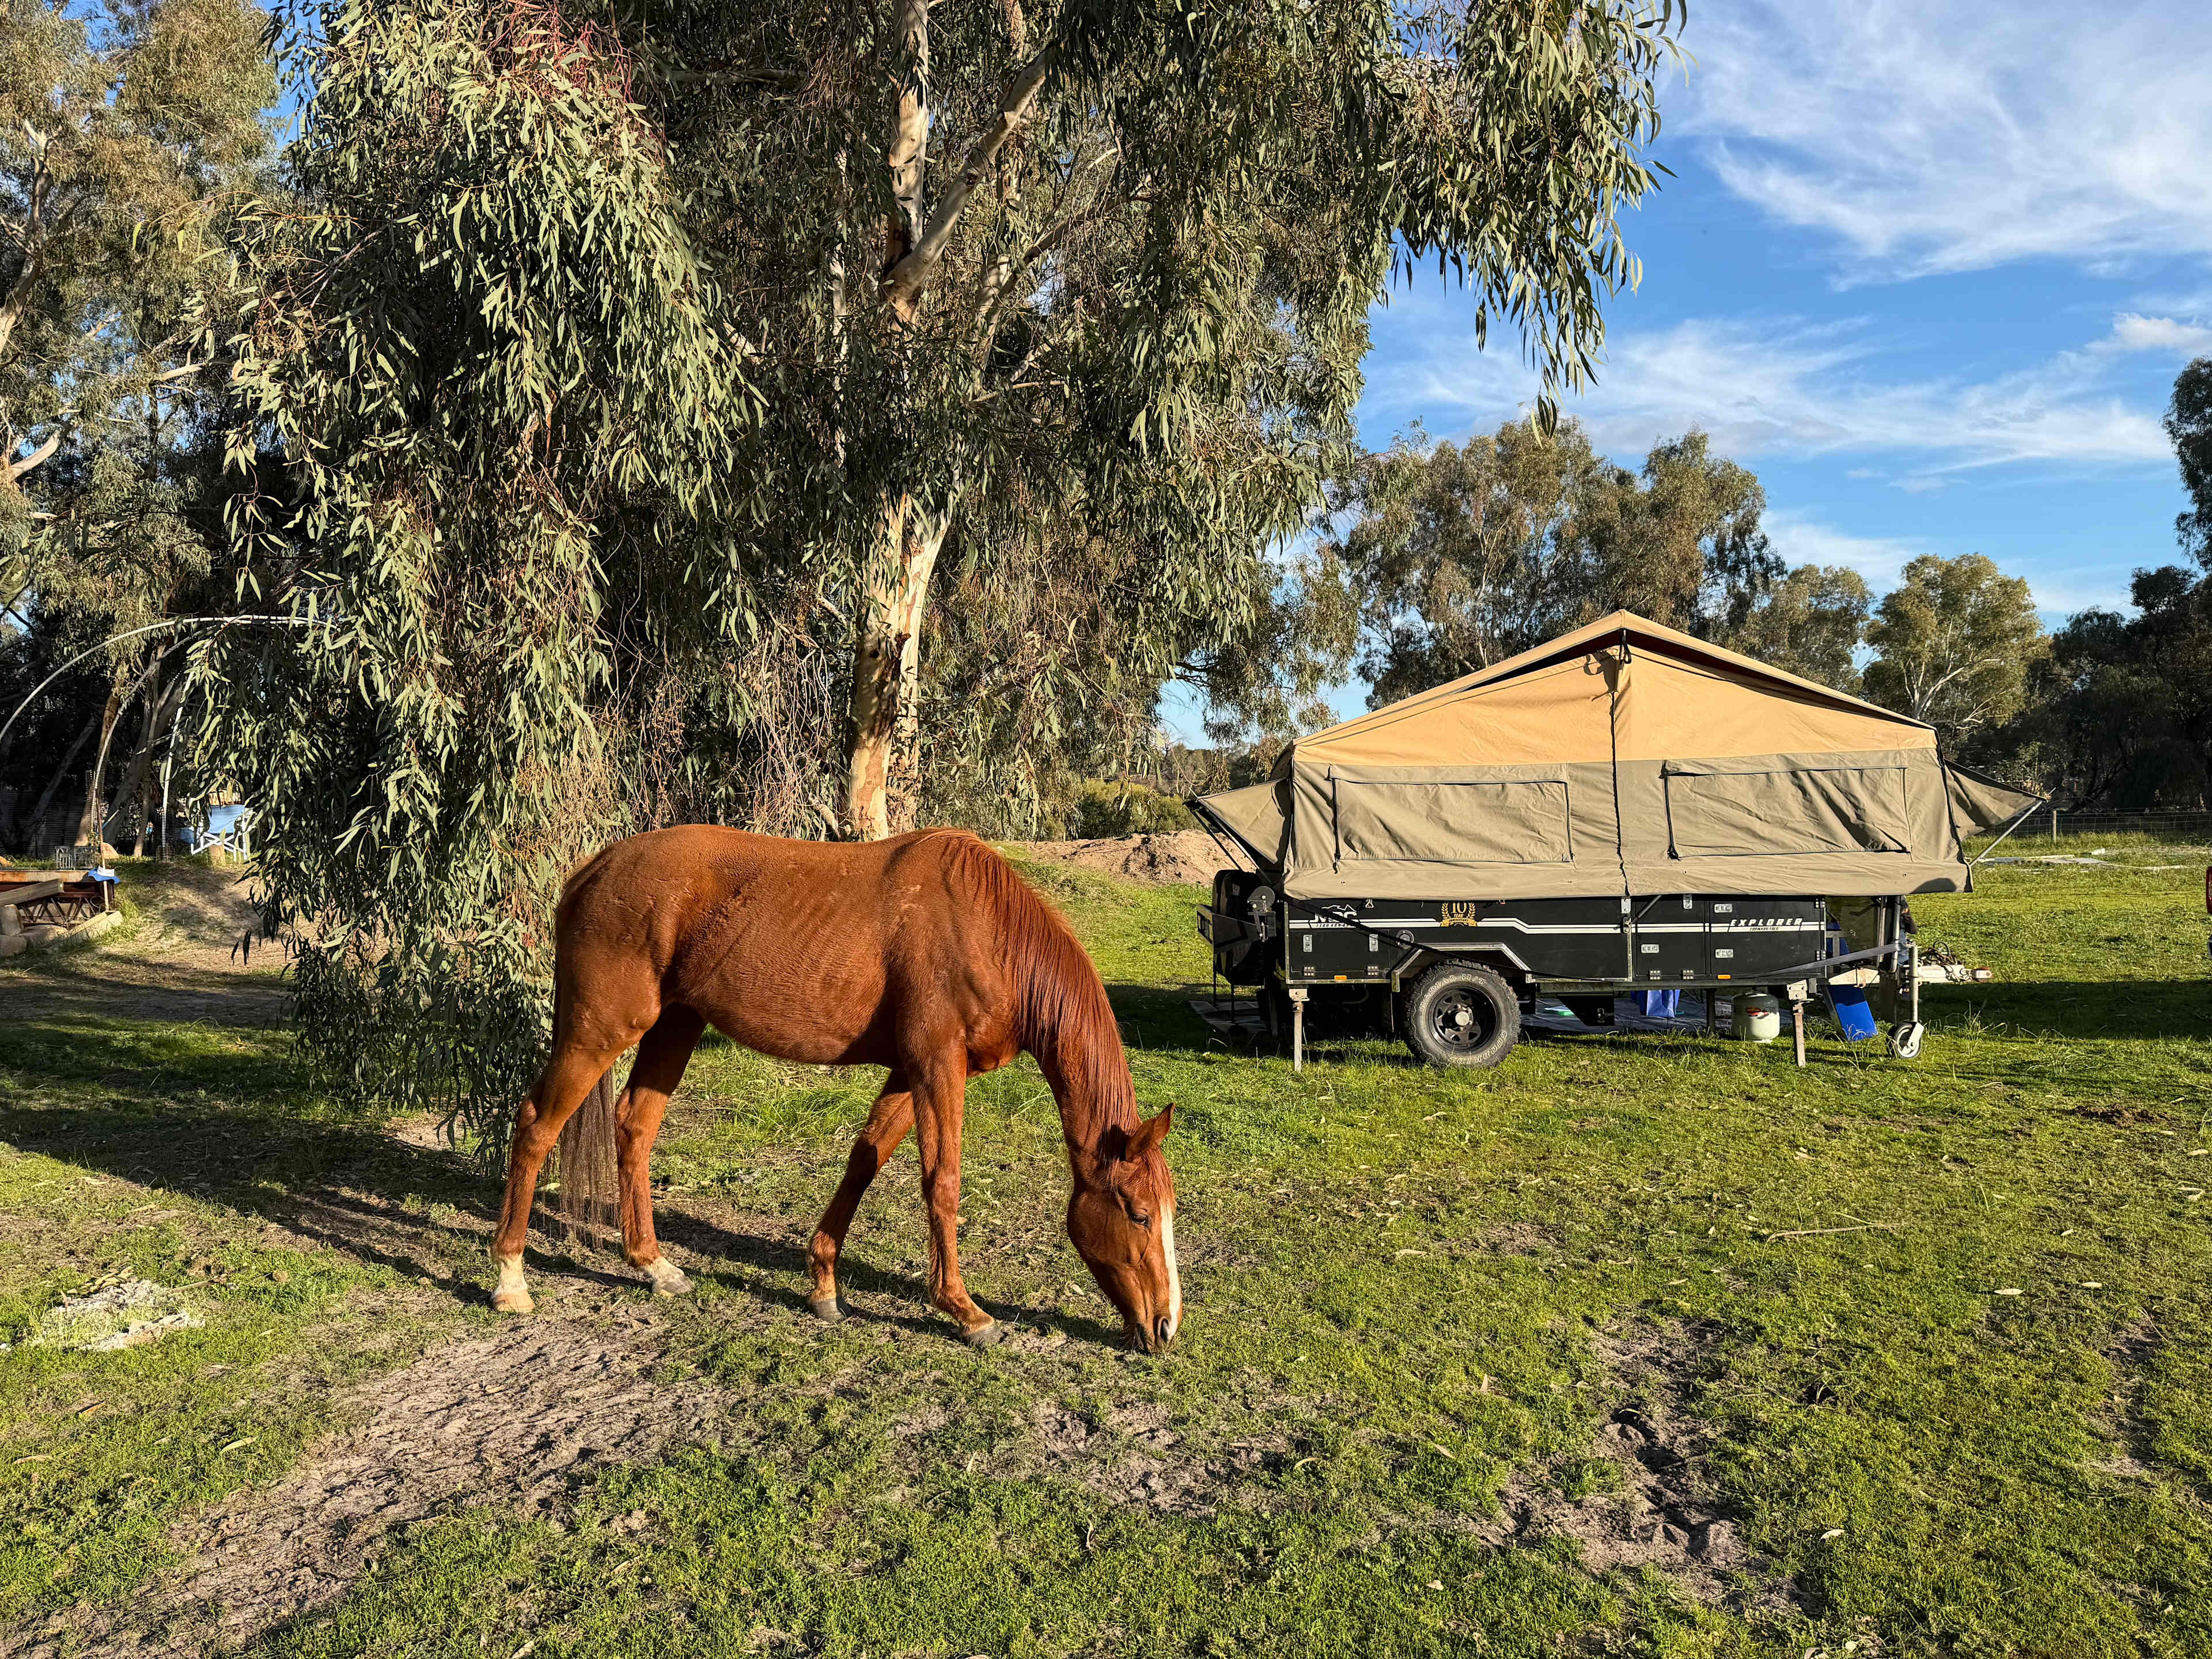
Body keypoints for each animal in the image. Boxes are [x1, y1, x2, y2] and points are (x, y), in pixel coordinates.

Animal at [489, 824, 1181, 1351]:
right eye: (1140, 1214)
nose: (1166, 1327)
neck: (987, 931)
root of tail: (592, 870)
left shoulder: (909, 1071)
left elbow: (865, 1159)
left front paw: (823, 1282)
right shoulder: (937, 1065)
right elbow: (943, 1183)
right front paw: (965, 1311)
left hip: (674, 1027)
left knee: (634, 1125)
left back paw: (652, 1264)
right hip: (599, 1032)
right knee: (537, 1125)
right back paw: (511, 1279)